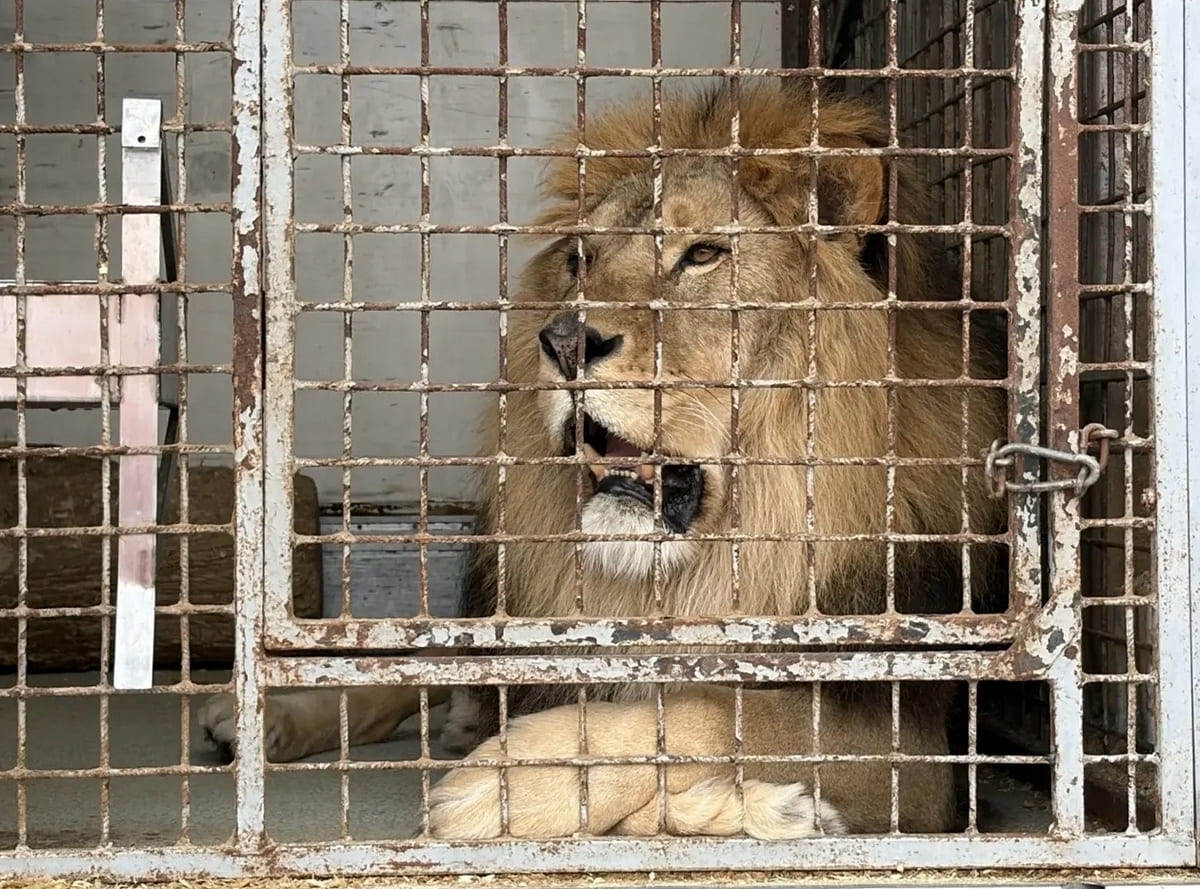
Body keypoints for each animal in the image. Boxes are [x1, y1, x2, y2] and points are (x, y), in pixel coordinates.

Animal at [199, 80, 1007, 839]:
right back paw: (262, 717)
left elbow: (716, 704)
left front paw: (528, 782)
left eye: (703, 254)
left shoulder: (918, 743)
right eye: (579, 260)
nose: (561, 341)